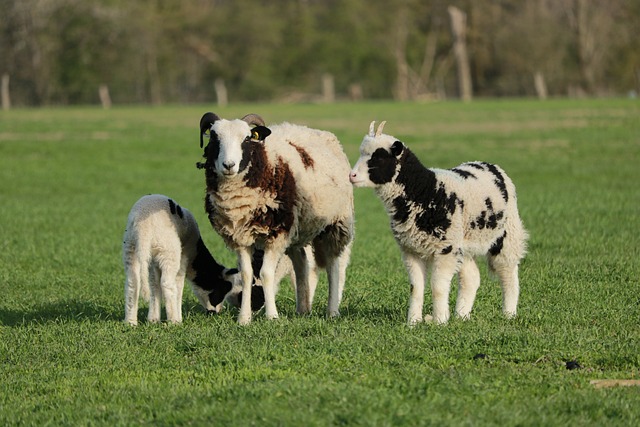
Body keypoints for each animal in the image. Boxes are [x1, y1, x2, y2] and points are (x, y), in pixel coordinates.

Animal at [122, 196, 245, 326]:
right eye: (222, 289)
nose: (216, 312)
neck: (195, 254)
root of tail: (143, 228)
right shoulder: (184, 255)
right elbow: (178, 283)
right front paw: (178, 317)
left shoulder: (154, 262)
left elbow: (154, 284)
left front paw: (153, 320)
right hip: (169, 250)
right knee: (167, 283)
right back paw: (174, 321)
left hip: (131, 248)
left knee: (132, 282)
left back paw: (130, 322)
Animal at [199, 113, 356, 324]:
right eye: (214, 138)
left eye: (247, 139)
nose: (228, 165)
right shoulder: (239, 237)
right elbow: (247, 274)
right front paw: (244, 319)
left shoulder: (276, 234)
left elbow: (266, 273)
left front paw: (272, 316)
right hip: (298, 230)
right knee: (301, 263)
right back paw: (303, 308)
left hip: (336, 224)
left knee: (333, 266)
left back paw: (332, 311)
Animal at [350, 122, 524, 326]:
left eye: (378, 157)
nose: (351, 175)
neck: (425, 191)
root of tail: (490, 165)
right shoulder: (412, 250)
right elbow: (415, 287)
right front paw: (413, 322)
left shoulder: (445, 248)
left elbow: (438, 287)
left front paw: (440, 321)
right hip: (463, 244)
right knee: (471, 278)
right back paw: (461, 316)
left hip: (507, 233)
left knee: (508, 273)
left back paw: (509, 313)